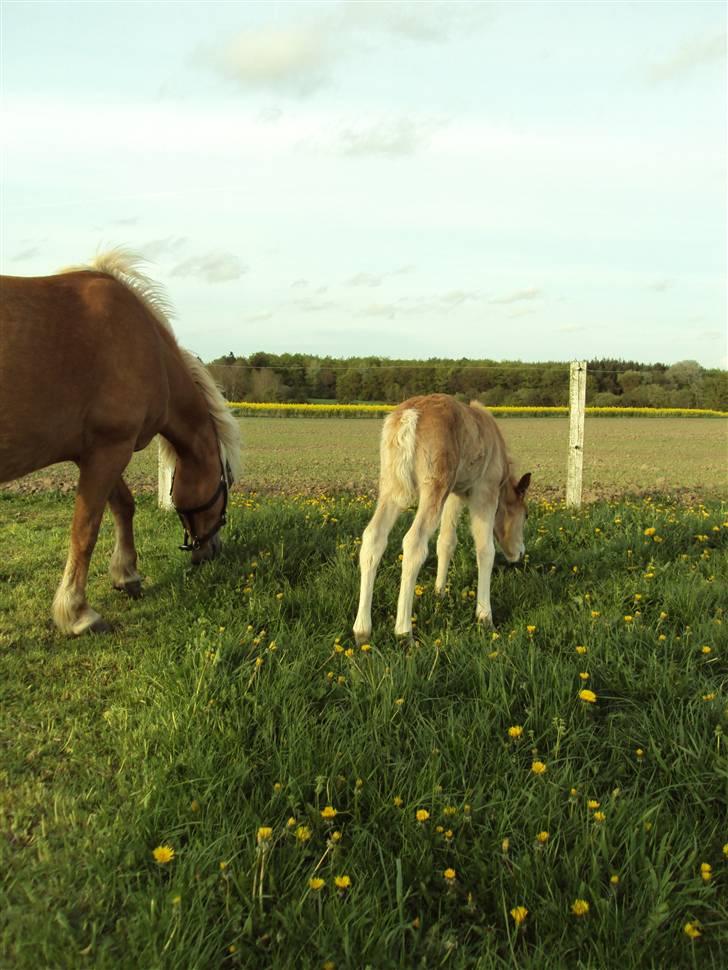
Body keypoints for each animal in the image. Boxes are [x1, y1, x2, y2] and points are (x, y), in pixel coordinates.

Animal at [0, 248, 245, 636]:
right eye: (227, 482)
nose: (212, 550)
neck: (151, 349)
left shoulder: (97, 451)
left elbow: (123, 506)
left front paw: (126, 575)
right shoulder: (110, 449)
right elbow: (85, 530)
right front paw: (77, 612)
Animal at [352, 394, 528, 644]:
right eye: (526, 515)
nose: (520, 553)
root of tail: (409, 415)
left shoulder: (454, 493)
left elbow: (446, 542)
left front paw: (439, 593)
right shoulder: (484, 491)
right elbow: (486, 550)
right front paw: (485, 617)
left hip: (392, 487)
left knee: (373, 537)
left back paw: (362, 631)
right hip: (434, 487)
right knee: (414, 543)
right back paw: (404, 631)